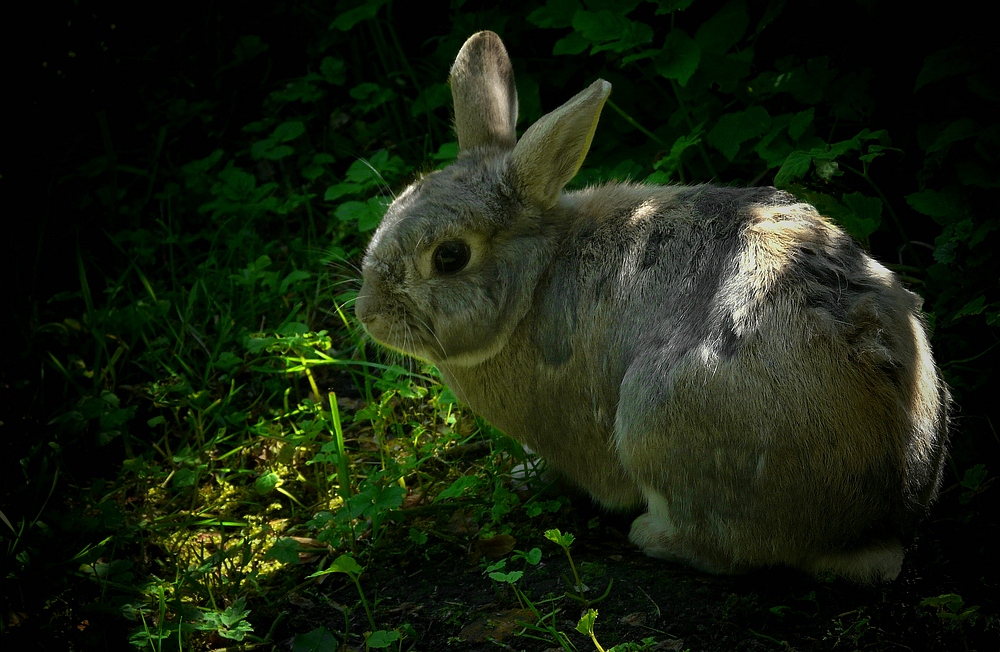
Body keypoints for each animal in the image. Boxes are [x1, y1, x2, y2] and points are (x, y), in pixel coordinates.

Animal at [356, 30, 948, 584]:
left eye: (450, 256)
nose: (367, 313)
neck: (537, 276)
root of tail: (875, 524)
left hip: (654, 415)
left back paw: (650, 535)